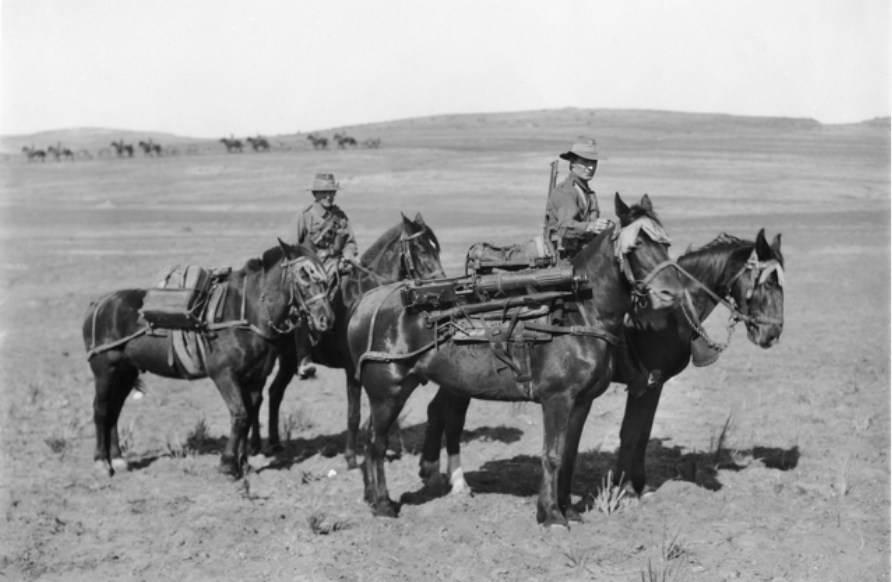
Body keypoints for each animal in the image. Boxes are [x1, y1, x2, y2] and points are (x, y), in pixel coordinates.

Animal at [83, 241, 334, 480]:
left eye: (323, 274)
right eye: (304, 275)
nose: (327, 318)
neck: (248, 313)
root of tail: (99, 304)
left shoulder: (256, 376)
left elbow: (249, 413)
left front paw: (243, 463)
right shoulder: (224, 374)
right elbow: (240, 414)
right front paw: (227, 465)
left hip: (126, 371)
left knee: (114, 410)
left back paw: (118, 460)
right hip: (105, 369)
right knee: (101, 409)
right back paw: (102, 463)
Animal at [251, 214, 446, 466]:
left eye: (437, 248)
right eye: (421, 249)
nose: (441, 286)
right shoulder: (352, 368)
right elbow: (354, 413)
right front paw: (351, 456)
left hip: (287, 361)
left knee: (274, 393)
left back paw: (274, 443)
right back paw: (256, 445)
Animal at [346, 196, 684, 528]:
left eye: (665, 244)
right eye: (636, 246)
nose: (673, 293)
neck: (581, 314)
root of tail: (365, 302)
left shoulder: (582, 402)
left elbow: (570, 454)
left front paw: (568, 510)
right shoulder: (557, 399)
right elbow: (553, 454)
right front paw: (551, 515)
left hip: (401, 389)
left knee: (379, 435)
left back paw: (374, 496)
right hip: (388, 392)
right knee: (376, 442)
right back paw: (383, 504)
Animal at [420, 229, 788, 502]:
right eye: (768, 282)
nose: (772, 333)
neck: (669, 317)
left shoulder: (655, 385)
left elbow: (643, 434)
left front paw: (638, 486)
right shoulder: (644, 384)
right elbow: (630, 433)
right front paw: (625, 489)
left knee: (439, 409)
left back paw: (437, 475)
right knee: (452, 415)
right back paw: (456, 482)